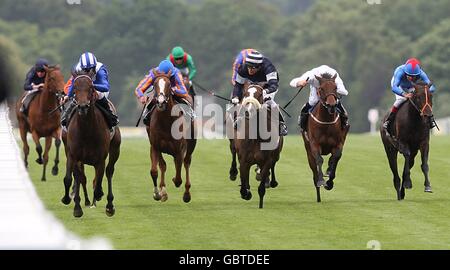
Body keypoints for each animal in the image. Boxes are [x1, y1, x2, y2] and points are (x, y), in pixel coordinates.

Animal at [61, 70, 122, 218]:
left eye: (90, 88)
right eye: (75, 89)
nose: (83, 107)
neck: (87, 130)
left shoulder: (100, 159)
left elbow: (98, 181)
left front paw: (99, 197)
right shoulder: (74, 155)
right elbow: (74, 178)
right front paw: (76, 206)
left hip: (115, 149)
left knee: (109, 172)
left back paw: (108, 205)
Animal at [147, 70, 196, 204]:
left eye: (169, 84)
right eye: (154, 84)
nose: (161, 102)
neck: (166, 122)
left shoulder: (179, 149)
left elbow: (179, 178)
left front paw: (175, 180)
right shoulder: (155, 146)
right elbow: (155, 170)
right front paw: (158, 193)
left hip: (191, 145)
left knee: (186, 162)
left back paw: (187, 194)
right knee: (164, 165)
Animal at [300, 74, 350, 202]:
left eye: (335, 87)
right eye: (321, 88)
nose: (331, 105)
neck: (326, 122)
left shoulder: (338, 144)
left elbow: (335, 158)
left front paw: (329, 182)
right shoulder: (314, 145)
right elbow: (319, 160)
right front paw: (322, 180)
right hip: (308, 150)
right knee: (314, 169)